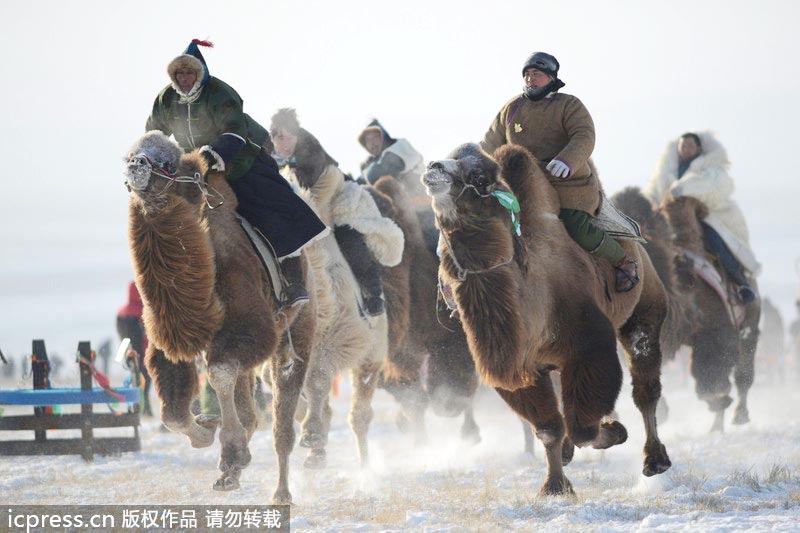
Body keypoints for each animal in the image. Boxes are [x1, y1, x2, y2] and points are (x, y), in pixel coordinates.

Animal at [123, 132, 314, 502]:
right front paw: (207, 433)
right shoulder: (169, 340)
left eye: (167, 162)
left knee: (281, 413)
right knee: (252, 400)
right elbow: (172, 412)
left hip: (297, 329)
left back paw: (281, 490)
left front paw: (231, 452)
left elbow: (219, 373)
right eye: (130, 153)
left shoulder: (251, 329)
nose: (136, 165)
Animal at [422, 143, 672, 496]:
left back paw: (655, 461)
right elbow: (548, 427)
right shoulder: (522, 367)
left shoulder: (588, 346)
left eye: (480, 176)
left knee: (645, 386)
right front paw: (554, 485)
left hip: (644, 305)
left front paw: (613, 431)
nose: (433, 166)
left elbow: (582, 426)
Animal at [612, 189, 764, 430]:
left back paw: (738, 416)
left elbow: (710, 378)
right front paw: (663, 411)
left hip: (750, 320)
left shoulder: (716, 330)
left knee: (744, 370)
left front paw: (719, 401)